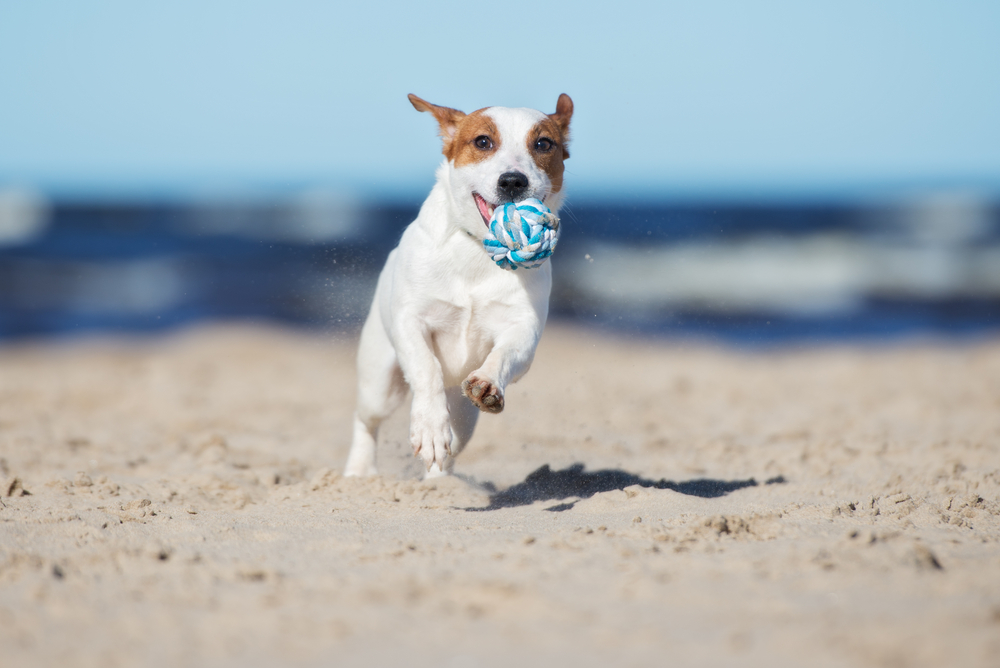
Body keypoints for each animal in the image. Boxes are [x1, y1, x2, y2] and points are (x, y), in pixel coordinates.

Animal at [344, 95, 576, 480]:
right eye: (482, 141)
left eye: (544, 144)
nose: (513, 181)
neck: (480, 251)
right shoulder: (411, 320)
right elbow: (427, 368)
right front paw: (429, 427)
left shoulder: (523, 328)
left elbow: (504, 354)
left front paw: (487, 382)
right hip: (379, 382)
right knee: (367, 421)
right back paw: (360, 470)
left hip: (465, 418)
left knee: (452, 446)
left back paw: (438, 482)